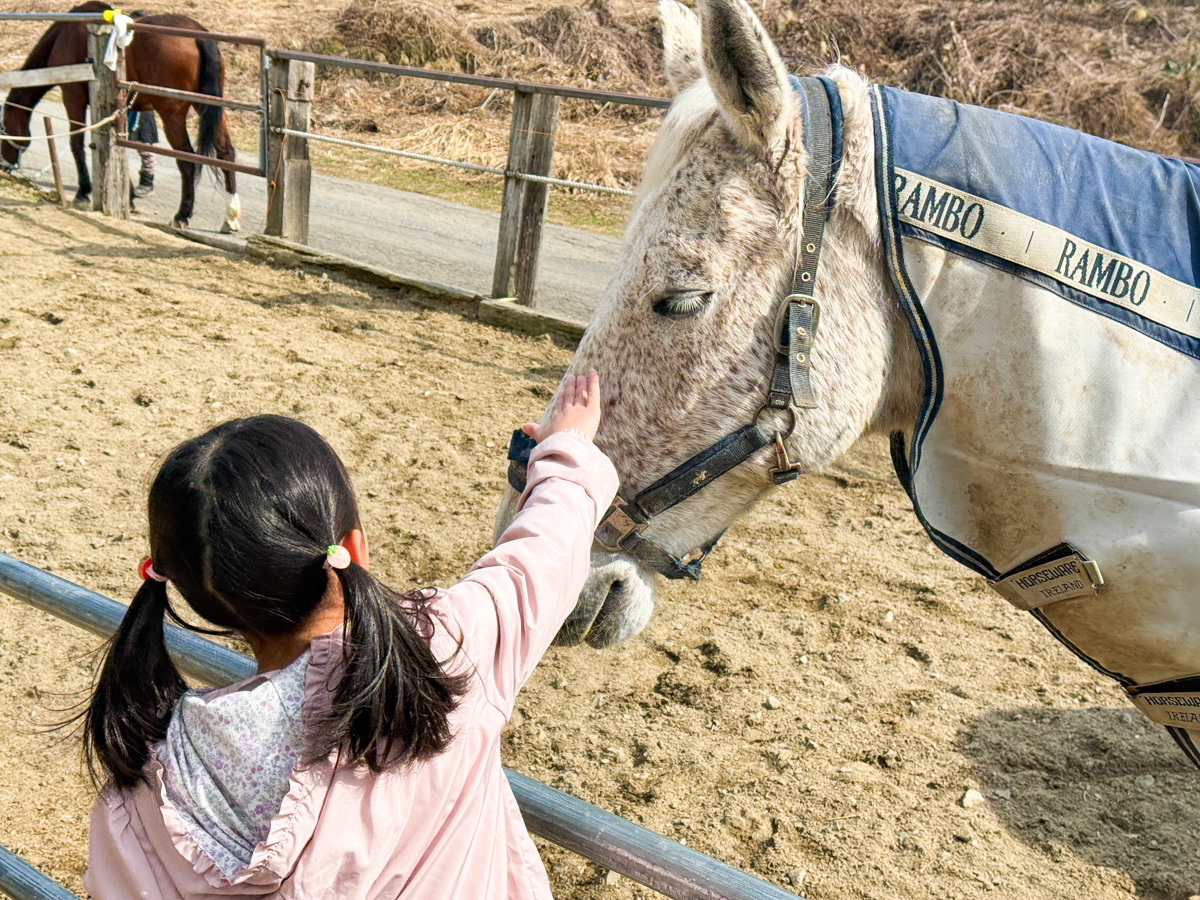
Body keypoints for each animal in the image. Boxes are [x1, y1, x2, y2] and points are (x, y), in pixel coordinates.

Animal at [0, 1, 241, 231]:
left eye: (2, 128)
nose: (4, 165)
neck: (65, 34)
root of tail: (197, 34)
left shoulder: (73, 97)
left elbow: (77, 143)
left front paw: (83, 192)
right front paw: (128, 194)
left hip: (171, 114)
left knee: (187, 159)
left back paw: (182, 215)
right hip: (209, 107)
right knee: (226, 152)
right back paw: (230, 216)